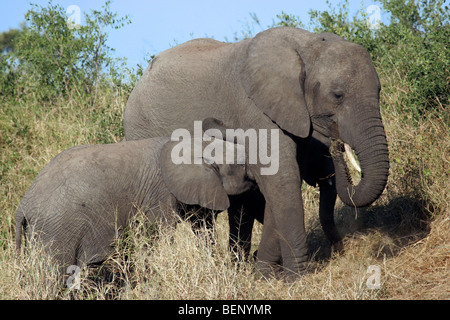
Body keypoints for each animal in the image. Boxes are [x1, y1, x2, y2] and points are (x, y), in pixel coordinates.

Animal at [15, 131, 255, 268]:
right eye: (244, 167)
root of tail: (22, 205)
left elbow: (203, 226)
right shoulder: (159, 194)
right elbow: (160, 235)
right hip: (56, 229)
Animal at [124, 27, 390, 278]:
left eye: (379, 90)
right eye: (337, 95)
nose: (337, 144)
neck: (305, 44)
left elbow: (276, 184)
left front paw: (266, 272)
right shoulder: (254, 109)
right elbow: (280, 178)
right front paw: (295, 278)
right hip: (141, 132)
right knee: (200, 216)